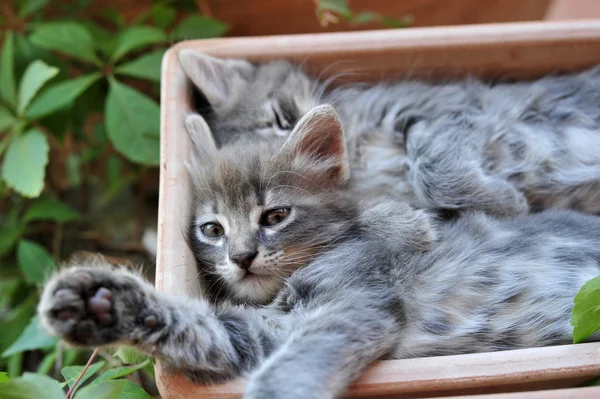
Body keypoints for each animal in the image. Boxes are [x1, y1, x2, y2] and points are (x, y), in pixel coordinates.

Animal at [38, 105, 600, 399]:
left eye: (275, 217)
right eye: (212, 229)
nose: (241, 257)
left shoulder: (354, 301)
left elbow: (290, 368)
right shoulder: (259, 332)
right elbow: (201, 326)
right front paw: (101, 301)